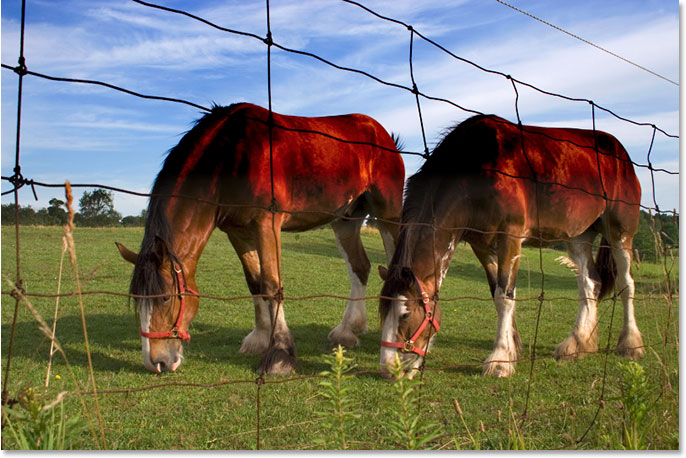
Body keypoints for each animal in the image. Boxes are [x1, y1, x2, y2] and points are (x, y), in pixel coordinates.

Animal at [115, 104, 406, 376]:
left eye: (165, 298)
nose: (156, 362)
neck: (229, 158)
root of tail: (383, 134)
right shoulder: (238, 232)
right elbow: (255, 283)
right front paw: (260, 338)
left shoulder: (267, 224)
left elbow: (271, 285)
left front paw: (279, 354)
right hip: (346, 220)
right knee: (360, 266)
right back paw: (347, 331)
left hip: (387, 213)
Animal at [382, 114, 644, 380]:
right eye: (381, 310)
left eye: (405, 314)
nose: (390, 369)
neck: (474, 171)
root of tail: (620, 153)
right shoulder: (482, 246)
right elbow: (497, 294)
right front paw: (512, 348)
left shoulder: (510, 237)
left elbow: (504, 297)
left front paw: (500, 360)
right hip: (579, 237)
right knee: (590, 284)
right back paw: (576, 345)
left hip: (620, 233)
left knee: (626, 283)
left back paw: (630, 345)